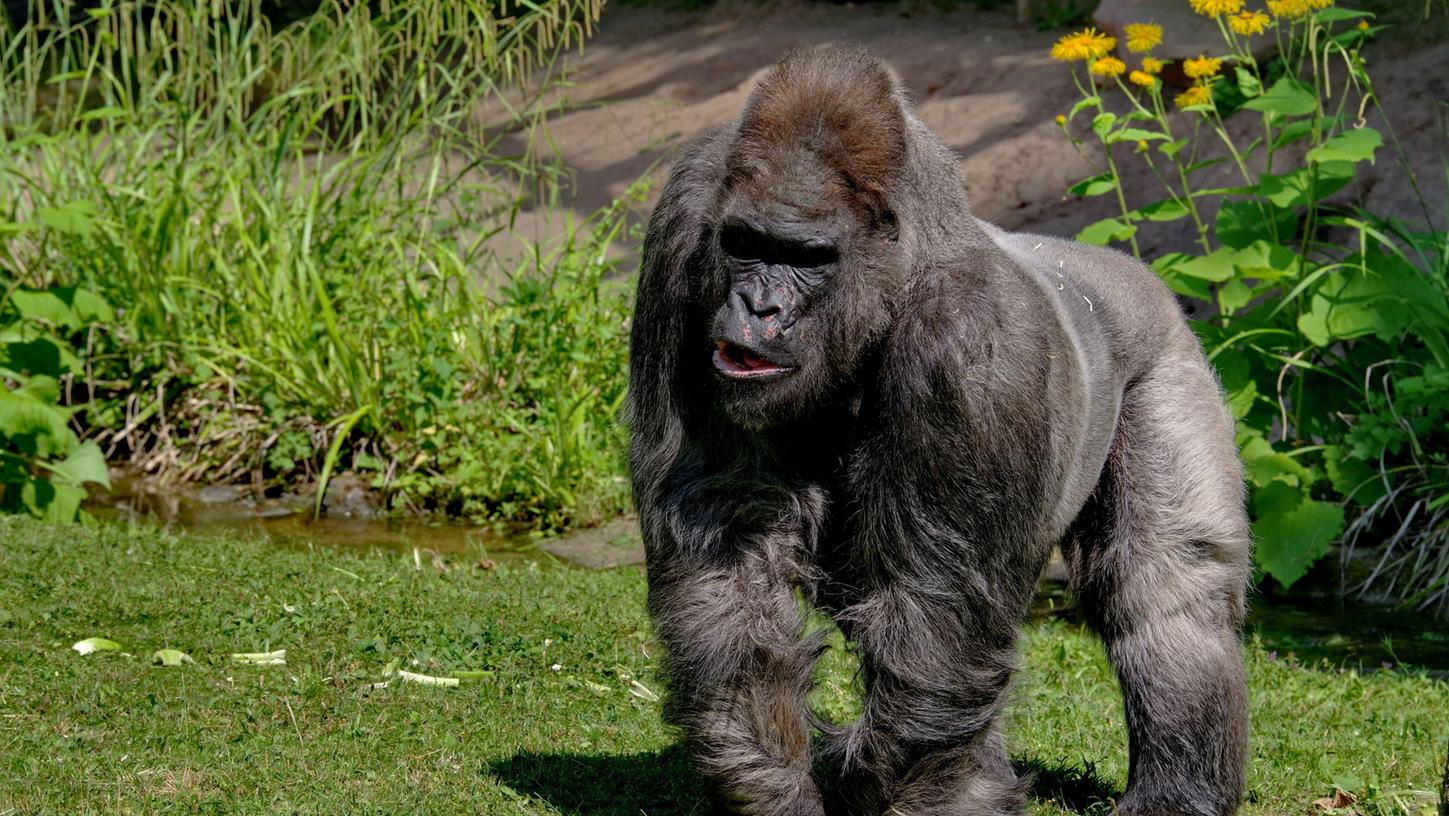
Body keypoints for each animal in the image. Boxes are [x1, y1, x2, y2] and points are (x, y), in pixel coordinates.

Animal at [628, 46, 1251, 816]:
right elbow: (727, 537)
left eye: (807, 258)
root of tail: (1127, 270)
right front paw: (768, 783)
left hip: (1168, 357)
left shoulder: (970, 340)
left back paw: (1177, 790)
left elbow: (935, 622)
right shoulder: (685, 223)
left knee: (1167, 588)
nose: (757, 307)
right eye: (744, 244)